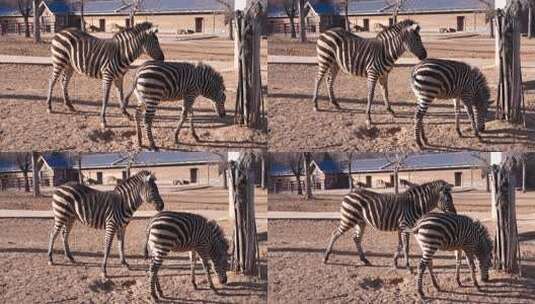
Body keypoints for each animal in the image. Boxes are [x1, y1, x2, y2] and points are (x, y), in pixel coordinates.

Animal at [322, 179, 456, 270]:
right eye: (448, 200)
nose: (455, 213)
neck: (414, 205)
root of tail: (349, 194)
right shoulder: (405, 226)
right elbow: (406, 247)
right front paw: (408, 266)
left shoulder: (401, 228)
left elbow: (400, 245)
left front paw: (395, 262)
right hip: (349, 219)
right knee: (335, 234)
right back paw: (326, 257)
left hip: (360, 222)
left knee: (356, 238)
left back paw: (364, 260)